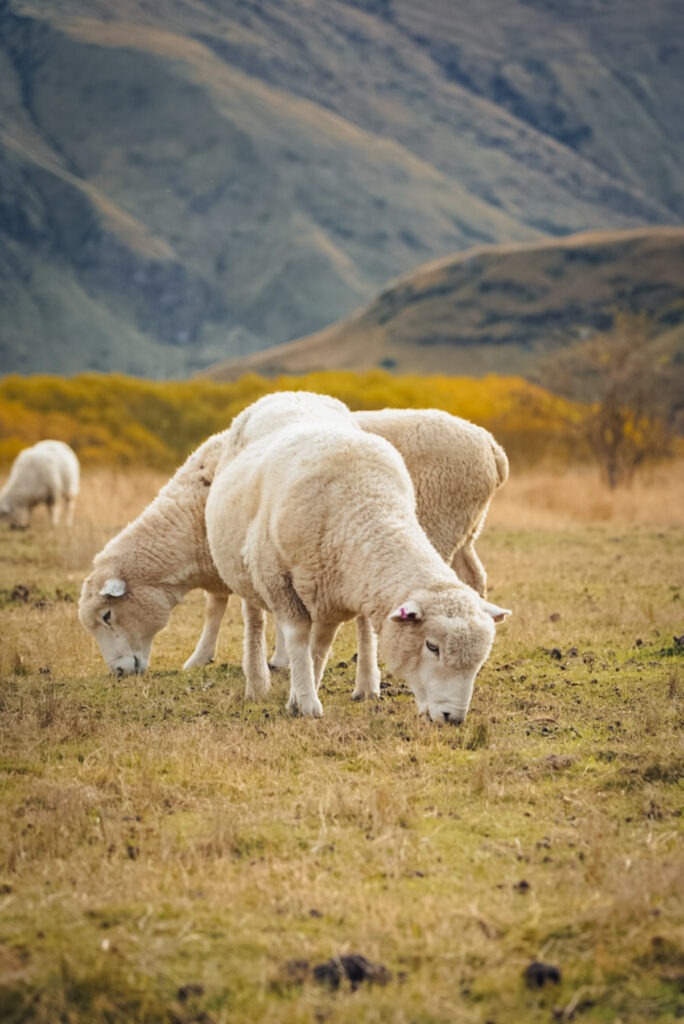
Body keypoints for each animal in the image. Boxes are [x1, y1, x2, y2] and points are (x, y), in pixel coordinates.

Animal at [202, 391, 507, 720]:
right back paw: (257, 683)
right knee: (254, 617)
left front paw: (302, 693)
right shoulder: (278, 579)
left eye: (478, 661)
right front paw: (306, 701)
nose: (453, 718)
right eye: (432, 646)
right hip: (245, 563)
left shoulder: (331, 590)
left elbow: (319, 646)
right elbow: (298, 638)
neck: (364, 501)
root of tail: (292, 393)